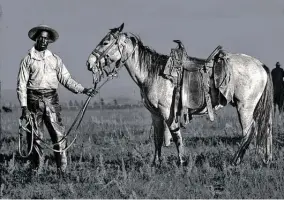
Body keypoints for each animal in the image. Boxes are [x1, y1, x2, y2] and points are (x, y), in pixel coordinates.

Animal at [86, 23, 272, 166]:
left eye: (106, 42)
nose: (89, 63)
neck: (152, 73)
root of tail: (260, 65)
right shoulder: (155, 114)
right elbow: (157, 137)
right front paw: (156, 163)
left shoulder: (167, 112)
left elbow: (176, 136)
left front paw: (182, 161)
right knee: (266, 129)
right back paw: (266, 159)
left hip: (245, 107)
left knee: (249, 132)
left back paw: (235, 161)